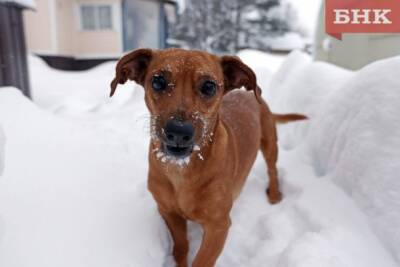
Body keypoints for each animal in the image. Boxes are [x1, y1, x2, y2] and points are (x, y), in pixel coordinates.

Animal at [111, 48, 308, 267]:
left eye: (209, 86)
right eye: (158, 81)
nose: (178, 131)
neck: (181, 170)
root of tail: (247, 93)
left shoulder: (218, 226)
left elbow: (202, 260)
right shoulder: (168, 212)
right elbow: (181, 246)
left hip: (269, 144)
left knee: (272, 169)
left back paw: (274, 193)